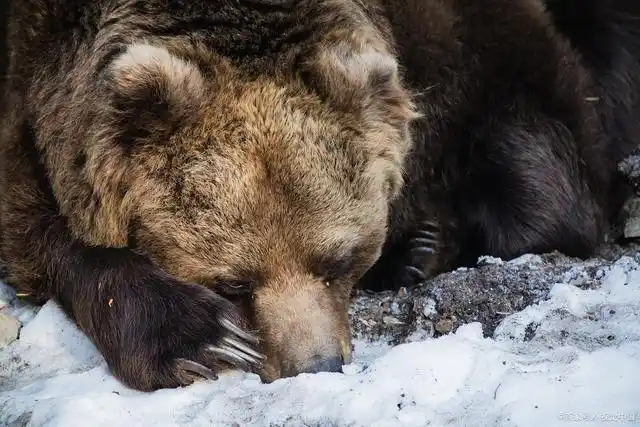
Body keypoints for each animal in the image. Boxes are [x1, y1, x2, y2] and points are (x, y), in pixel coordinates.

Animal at [1, 0, 639, 392]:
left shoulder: (469, 50)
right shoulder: (34, 86)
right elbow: (41, 227)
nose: (317, 364)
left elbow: (548, 186)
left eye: (338, 261)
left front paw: (418, 246)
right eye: (233, 283)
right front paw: (201, 338)